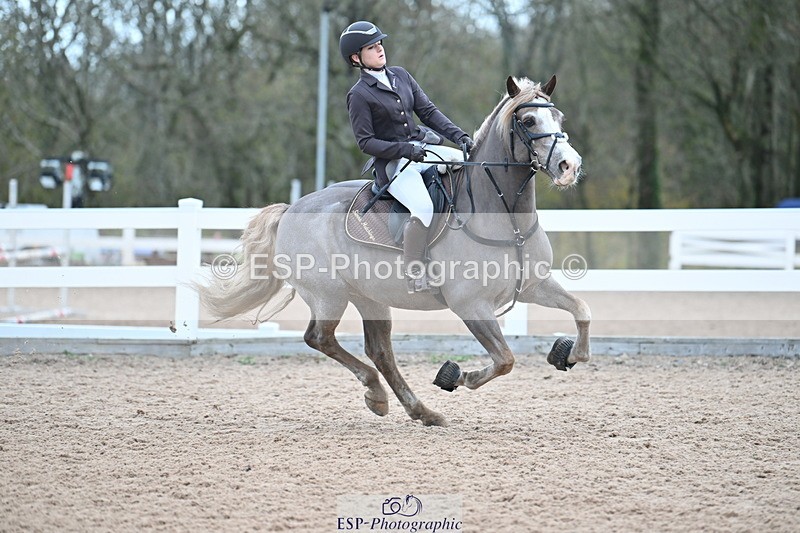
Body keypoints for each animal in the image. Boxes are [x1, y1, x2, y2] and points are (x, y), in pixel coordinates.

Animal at [197, 75, 591, 426]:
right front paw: (456, 376)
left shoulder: (534, 285)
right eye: (528, 121)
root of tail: (292, 208)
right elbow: (505, 359)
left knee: (379, 351)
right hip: (329, 294)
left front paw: (570, 354)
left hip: (369, 297)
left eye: (559, 118)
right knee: (320, 338)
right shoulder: (471, 305)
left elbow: (581, 310)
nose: (569, 166)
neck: (505, 217)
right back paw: (378, 394)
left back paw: (420, 411)